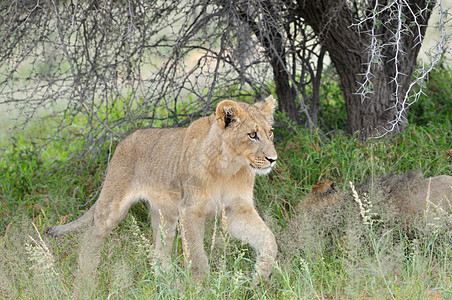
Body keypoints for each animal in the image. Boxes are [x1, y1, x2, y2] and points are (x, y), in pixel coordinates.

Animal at [46, 96, 278, 282]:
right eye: (252, 135)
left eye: (270, 133)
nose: (273, 159)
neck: (230, 167)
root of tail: (123, 141)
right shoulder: (190, 209)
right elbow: (196, 256)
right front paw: (203, 287)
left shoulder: (236, 210)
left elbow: (269, 240)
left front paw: (260, 276)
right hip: (112, 205)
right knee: (89, 240)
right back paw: (86, 278)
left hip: (165, 214)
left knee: (158, 251)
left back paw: (167, 282)